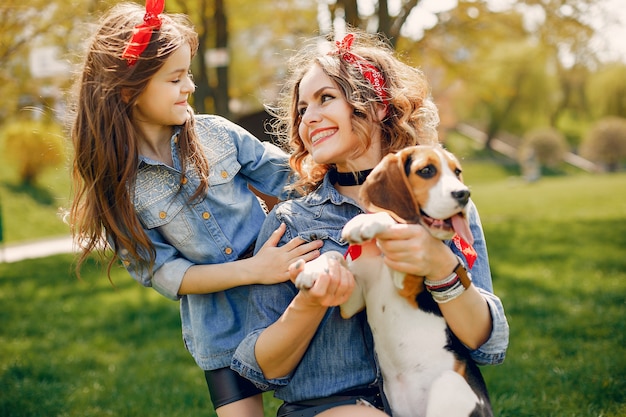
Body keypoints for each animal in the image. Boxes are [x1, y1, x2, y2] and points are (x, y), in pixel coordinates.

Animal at [294, 145, 490, 416]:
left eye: (457, 172)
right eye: (426, 170)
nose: (464, 194)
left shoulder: (408, 280)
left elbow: (393, 220)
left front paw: (367, 221)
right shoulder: (352, 301)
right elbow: (334, 256)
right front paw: (316, 270)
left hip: (449, 383)